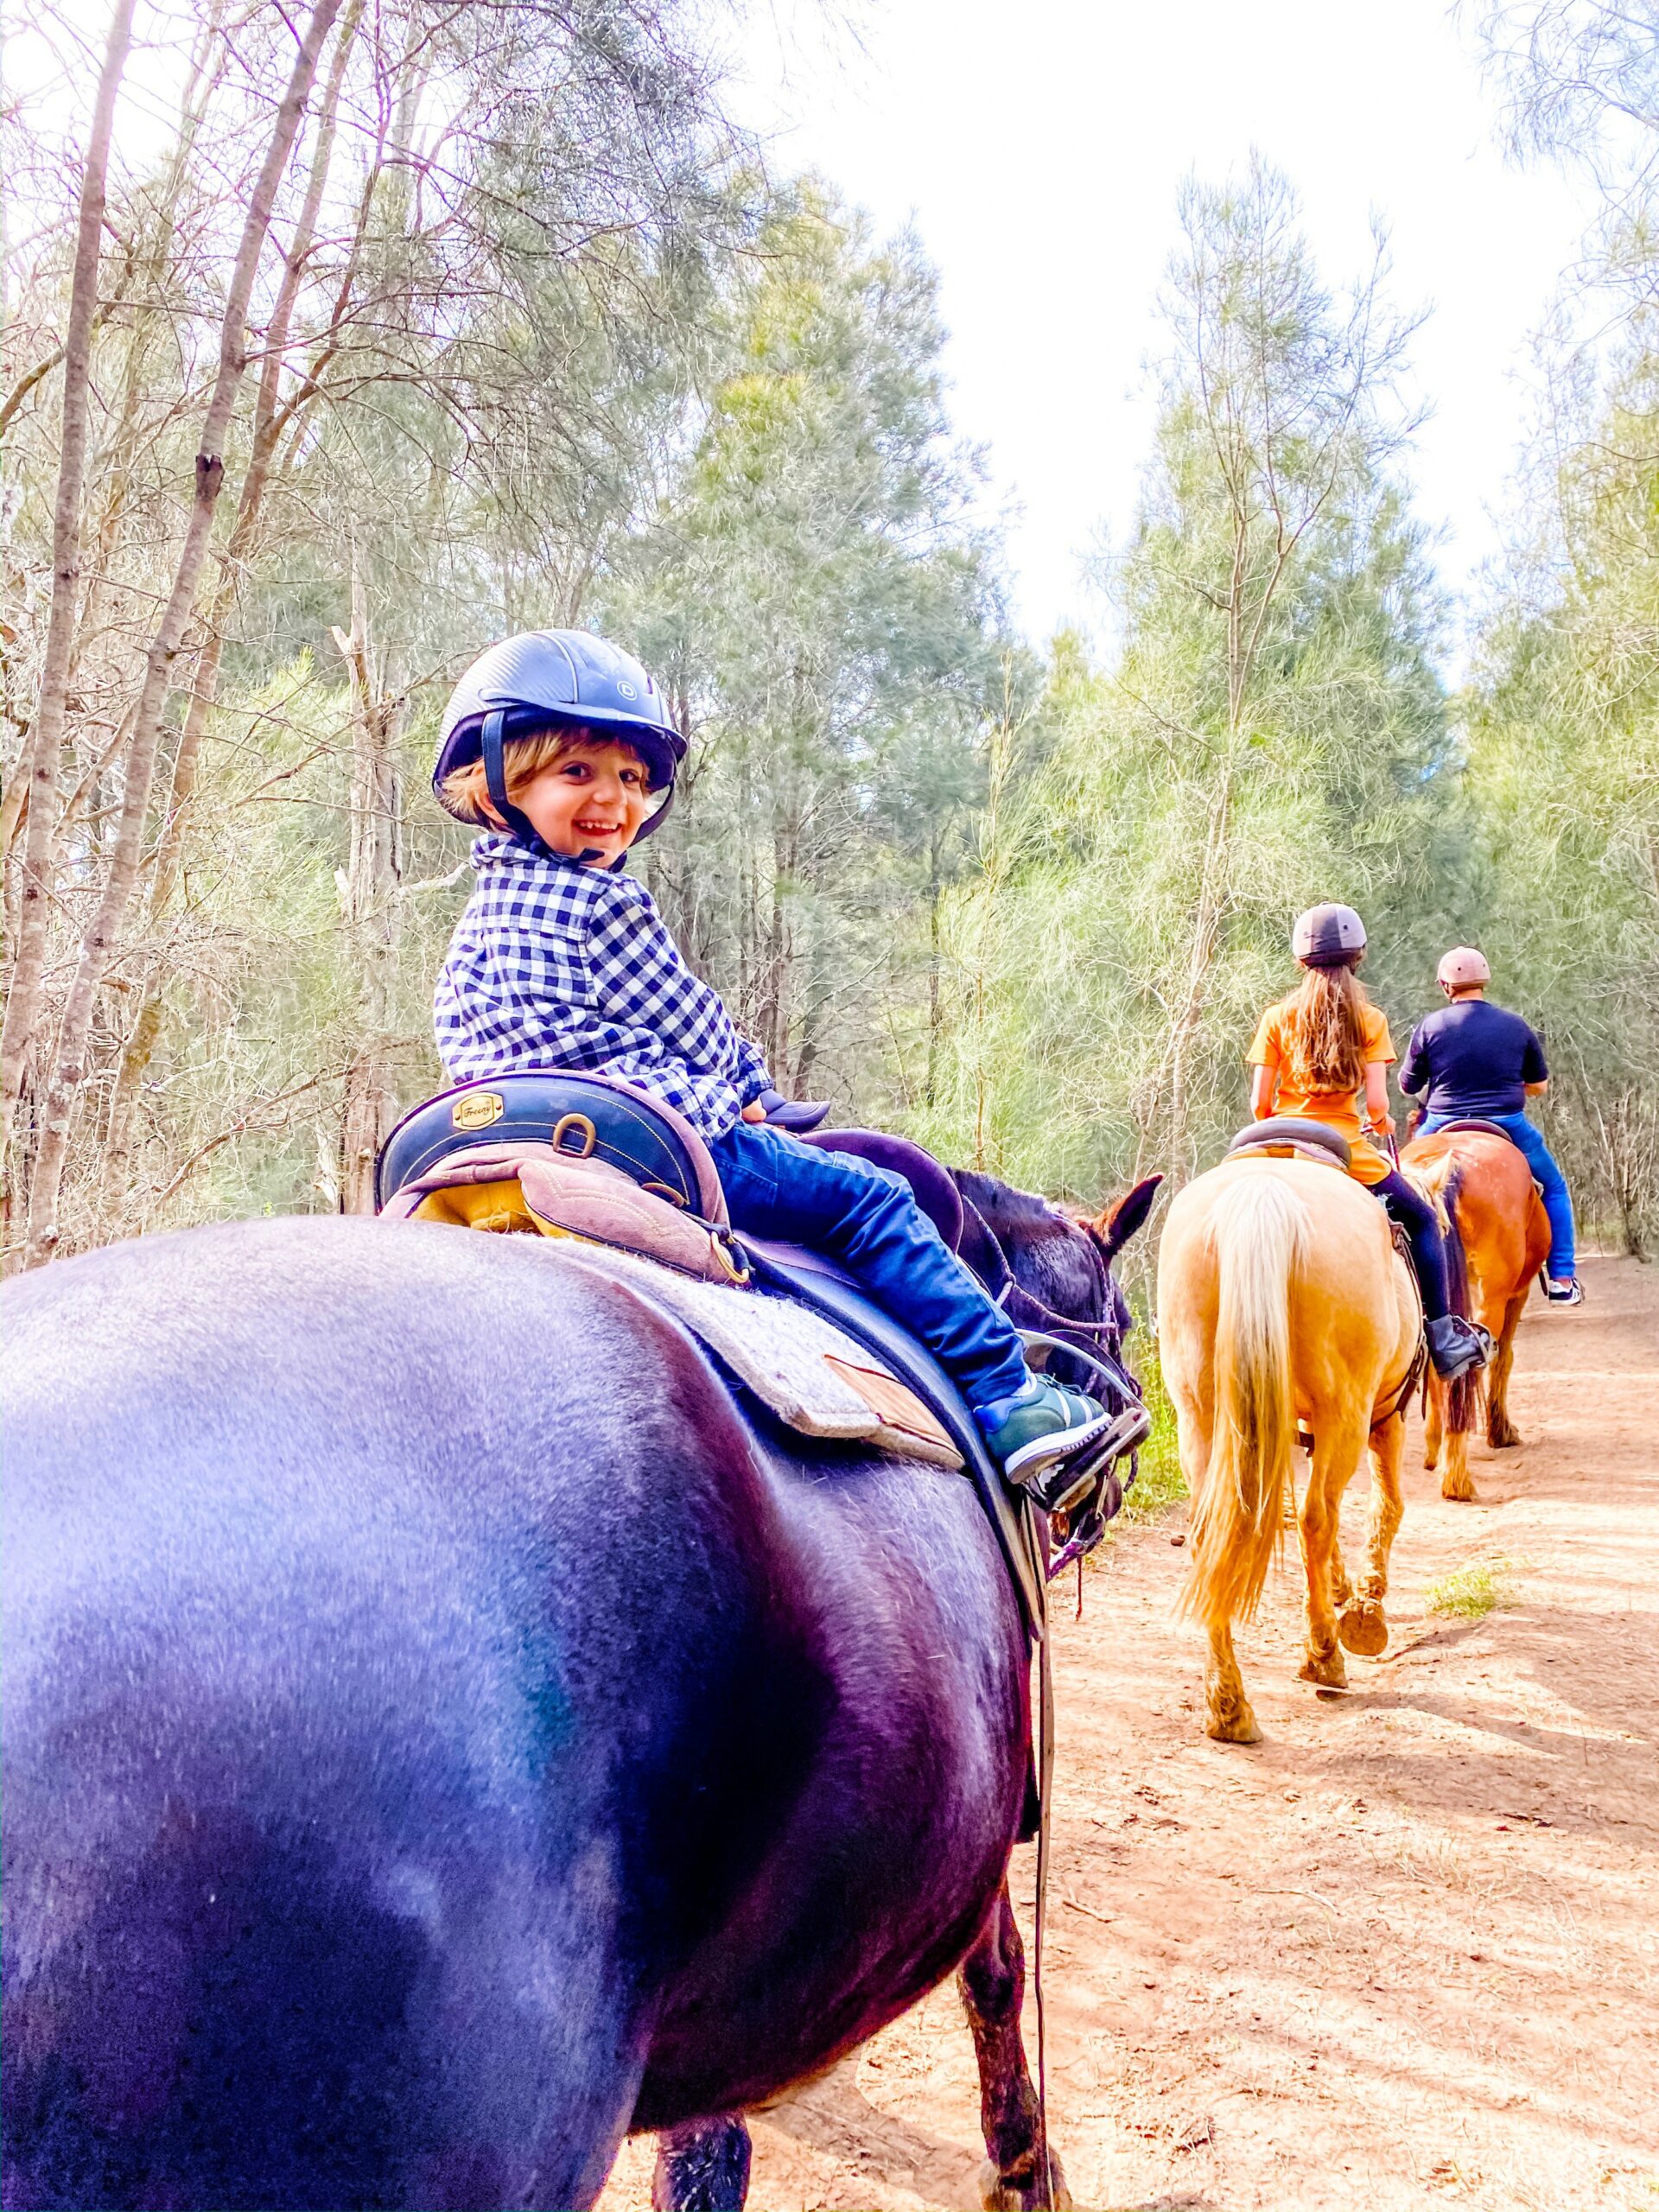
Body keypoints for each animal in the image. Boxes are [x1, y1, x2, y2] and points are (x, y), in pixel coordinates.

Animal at [1159, 1150, 1451, 1734]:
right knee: (1319, 1514)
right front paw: (1366, 1603)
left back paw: (1228, 1703)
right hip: (1347, 1411)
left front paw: (1342, 1588)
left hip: (1199, 1414)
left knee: (1211, 1531)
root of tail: (1261, 1193)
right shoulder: (1382, 1417)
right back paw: (1323, 1655)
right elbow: (1387, 1505)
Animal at [1407, 1123, 1557, 1503]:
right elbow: (1504, 1358)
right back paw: (1457, 1479)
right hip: (1494, 1297)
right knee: (1472, 1366)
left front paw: (1433, 1447)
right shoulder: (1516, 1295)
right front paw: (1501, 1431)